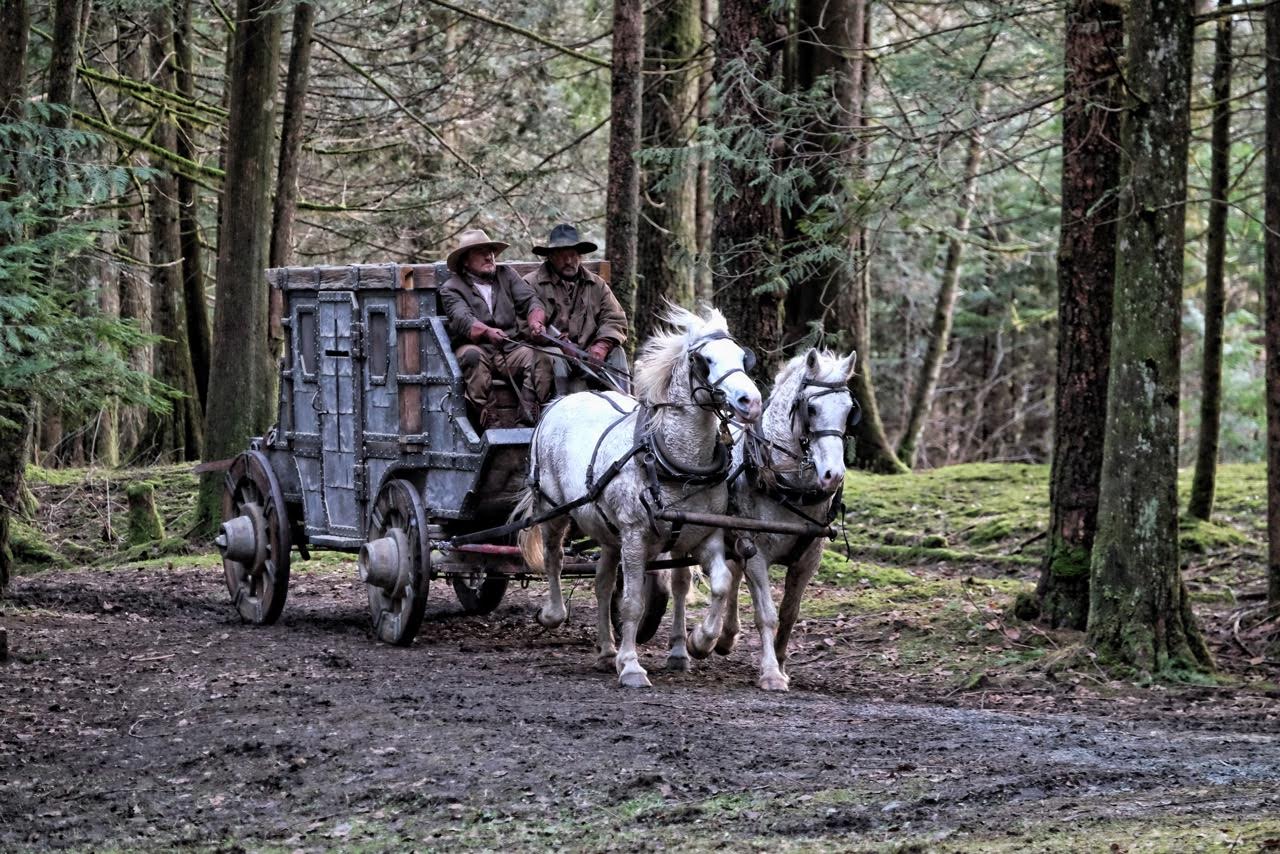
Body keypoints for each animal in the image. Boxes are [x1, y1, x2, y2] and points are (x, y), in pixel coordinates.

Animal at [517, 307, 762, 686]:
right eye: (705, 360)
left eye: (741, 357)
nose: (751, 402)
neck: (673, 461)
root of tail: (562, 400)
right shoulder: (634, 535)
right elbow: (632, 602)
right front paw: (632, 665)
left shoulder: (704, 534)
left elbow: (720, 583)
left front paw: (700, 642)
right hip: (553, 508)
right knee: (554, 557)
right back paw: (554, 615)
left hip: (606, 530)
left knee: (603, 584)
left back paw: (606, 651)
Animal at [675, 350, 855, 691]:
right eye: (811, 409)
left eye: (850, 410)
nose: (833, 475)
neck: (790, 486)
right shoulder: (757, 552)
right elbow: (767, 614)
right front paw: (771, 673)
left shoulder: (808, 559)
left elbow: (789, 613)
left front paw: (782, 664)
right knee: (680, 582)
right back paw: (684, 648)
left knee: (731, 575)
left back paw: (725, 636)